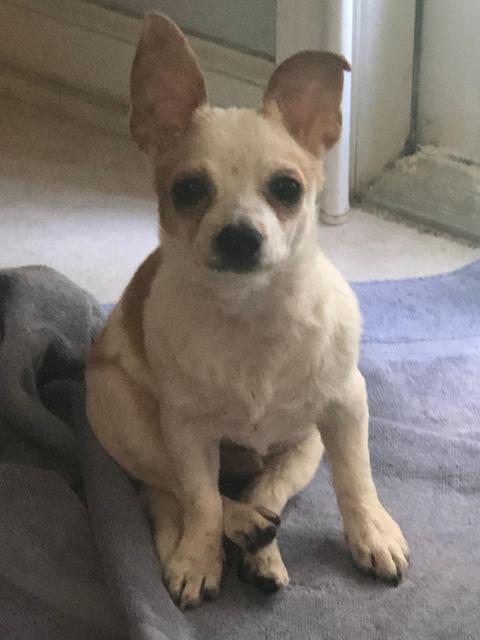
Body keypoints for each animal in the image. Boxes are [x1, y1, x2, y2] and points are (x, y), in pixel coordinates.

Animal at [86, 13, 409, 609]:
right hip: (126, 419)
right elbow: (199, 498)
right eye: (188, 189)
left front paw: (372, 534)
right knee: (173, 492)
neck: (251, 313)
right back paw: (225, 534)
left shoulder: (345, 407)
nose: (239, 234)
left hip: (304, 444)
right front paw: (197, 557)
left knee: (269, 493)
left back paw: (263, 552)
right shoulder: (186, 432)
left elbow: (356, 478)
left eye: (288, 189)